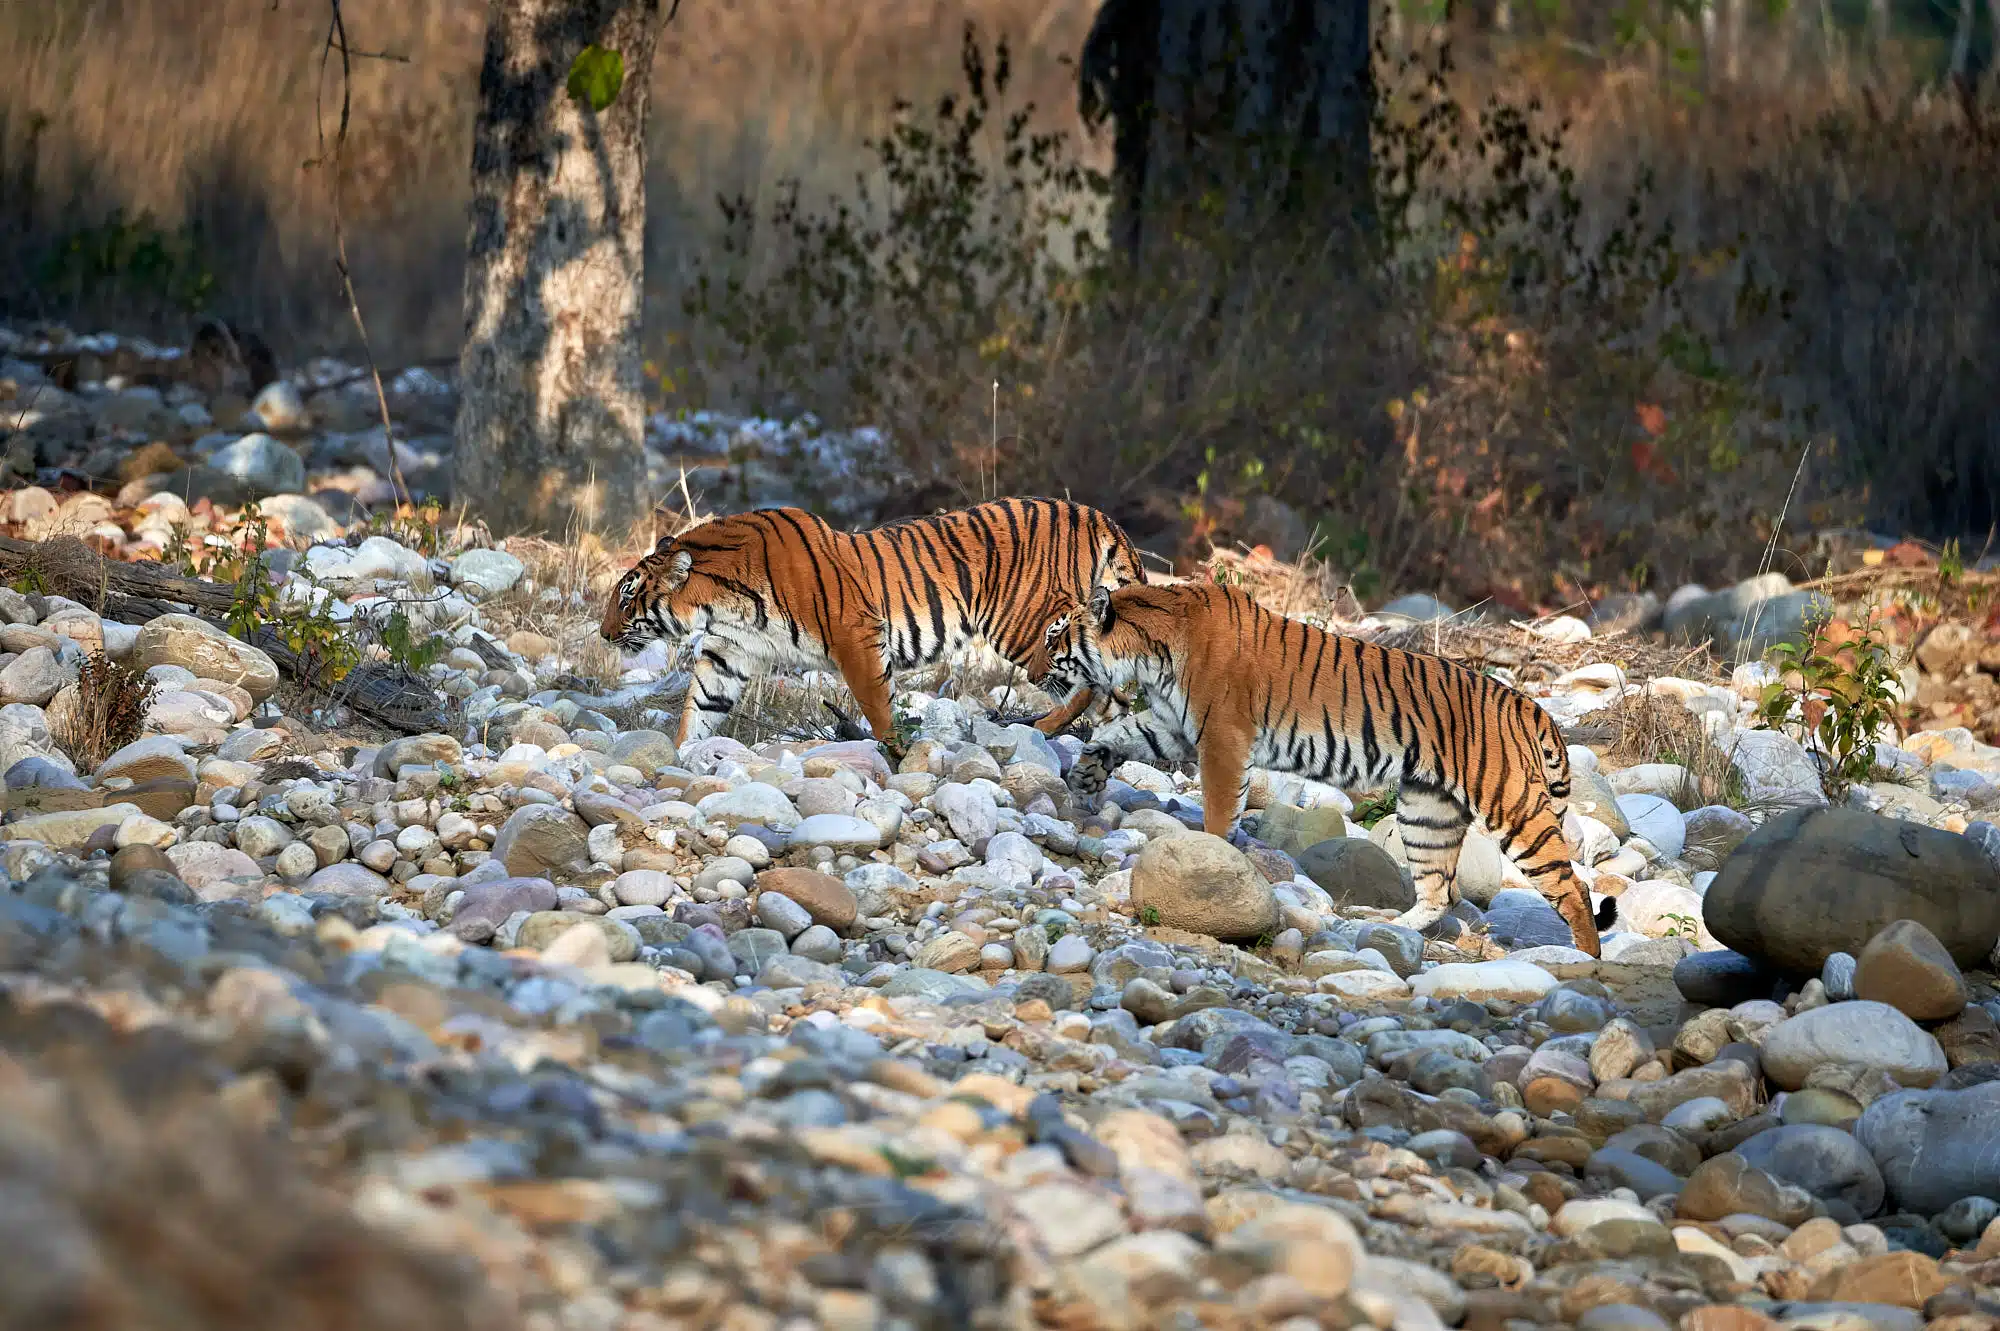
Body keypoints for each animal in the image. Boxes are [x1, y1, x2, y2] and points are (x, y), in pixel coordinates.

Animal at [599, 497, 1149, 749]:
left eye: (627, 596)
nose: (603, 634)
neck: (720, 599)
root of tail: (1095, 513)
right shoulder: (728, 653)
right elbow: (699, 708)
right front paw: (678, 756)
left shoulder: (855, 635)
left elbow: (877, 705)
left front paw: (895, 753)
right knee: (1110, 693)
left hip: (1023, 620)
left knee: (1085, 679)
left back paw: (1045, 725)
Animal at [1029, 580, 1604, 957]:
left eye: (1054, 639)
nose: (1030, 672)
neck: (1151, 655)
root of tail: (1525, 703)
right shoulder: (1173, 727)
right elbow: (1110, 737)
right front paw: (1083, 779)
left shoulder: (1221, 741)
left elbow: (1218, 810)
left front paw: (1208, 860)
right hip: (1427, 810)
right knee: (1438, 890)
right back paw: (1382, 928)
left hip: (1512, 807)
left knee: (1572, 889)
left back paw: (1583, 961)